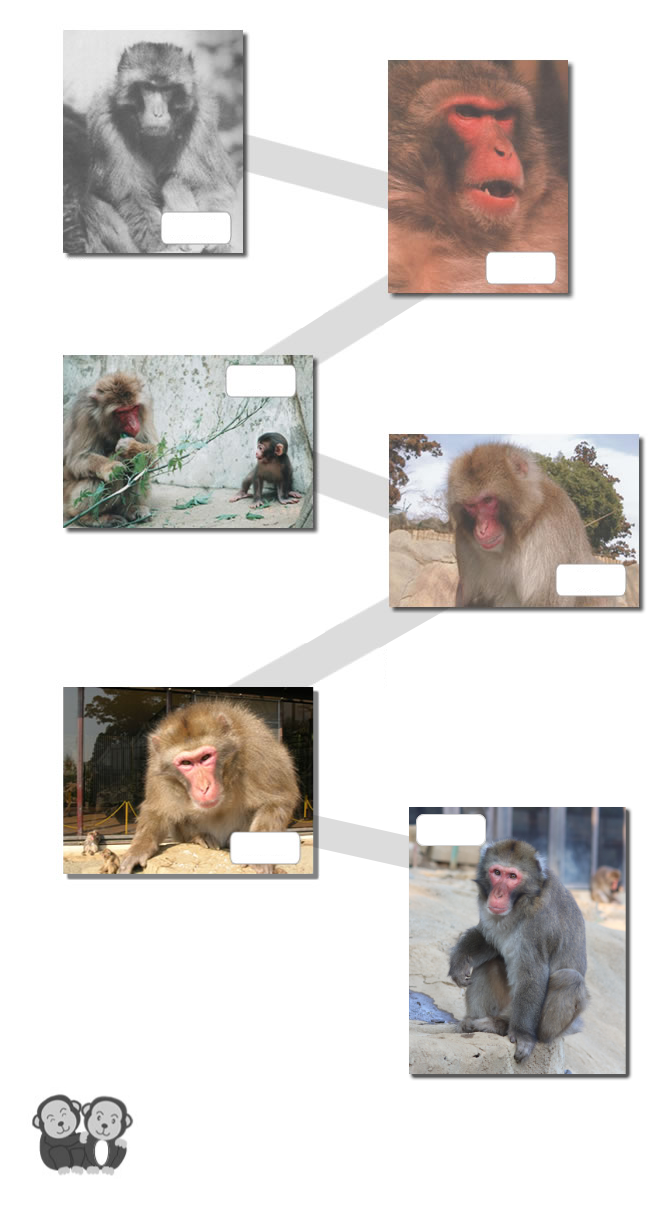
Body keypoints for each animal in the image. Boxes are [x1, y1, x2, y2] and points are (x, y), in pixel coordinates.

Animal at [63, 372, 156, 527]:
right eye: (122, 412)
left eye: (134, 408)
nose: (133, 425)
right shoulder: (84, 413)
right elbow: (77, 460)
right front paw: (112, 467)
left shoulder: (146, 409)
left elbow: (155, 452)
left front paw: (131, 448)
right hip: (68, 496)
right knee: (99, 477)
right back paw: (88, 517)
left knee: (138, 463)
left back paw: (131, 508)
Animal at [80, 42, 239, 254]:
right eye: (148, 87)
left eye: (167, 89)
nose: (157, 113)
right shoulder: (104, 119)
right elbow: (133, 196)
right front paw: (160, 246)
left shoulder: (202, 119)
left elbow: (212, 188)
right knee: (92, 204)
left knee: (174, 183)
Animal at [117, 701, 300, 874]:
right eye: (186, 763)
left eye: (205, 757)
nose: (203, 787)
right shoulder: (158, 770)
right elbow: (157, 811)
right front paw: (139, 848)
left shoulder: (258, 750)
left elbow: (278, 801)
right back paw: (199, 837)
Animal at [449, 839, 588, 1064]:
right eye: (497, 872)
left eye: (513, 877)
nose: (498, 894)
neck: (523, 901)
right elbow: (488, 939)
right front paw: (459, 960)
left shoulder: (540, 921)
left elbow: (532, 973)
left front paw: (523, 1036)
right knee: (489, 962)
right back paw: (477, 1023)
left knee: (570, 979)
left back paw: (504, 1027)